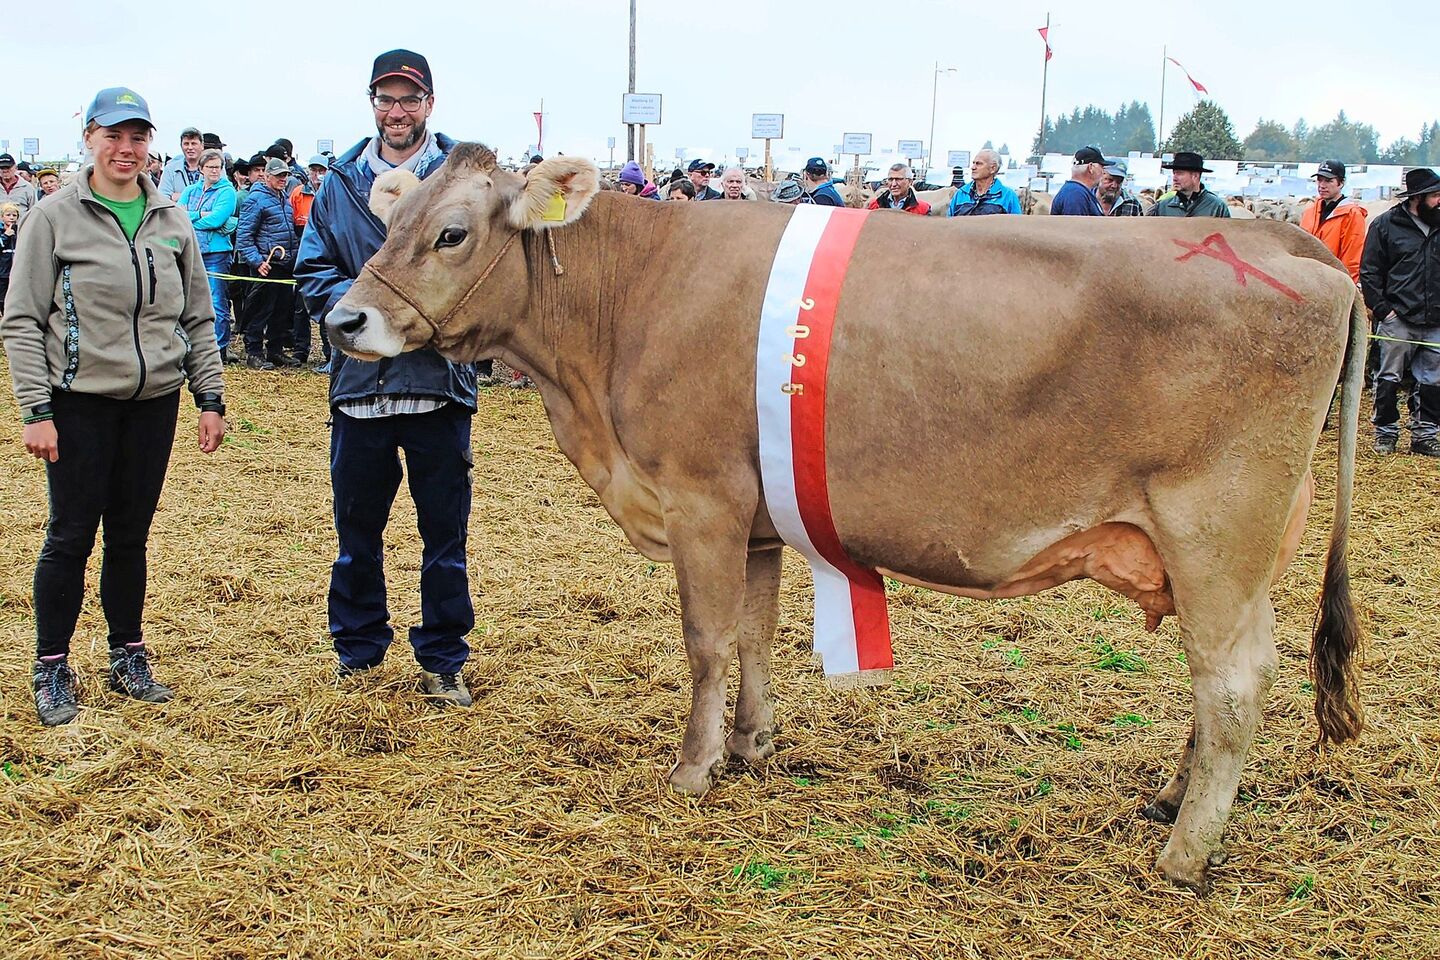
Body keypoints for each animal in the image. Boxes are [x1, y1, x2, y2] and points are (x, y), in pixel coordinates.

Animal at [327, 145, 1366, 896]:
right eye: (393, 217)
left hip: (1215, 534)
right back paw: (1167, 798)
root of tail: (1284, 246)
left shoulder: (700, 498)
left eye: (452, 233)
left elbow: (705, 641)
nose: (343, 321)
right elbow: (754, 635)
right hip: (1245, 553)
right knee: (1216, 686)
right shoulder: (754, 514)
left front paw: (693, 770)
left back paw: (1184, 856)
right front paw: (752, 746)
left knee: (1231, 685)